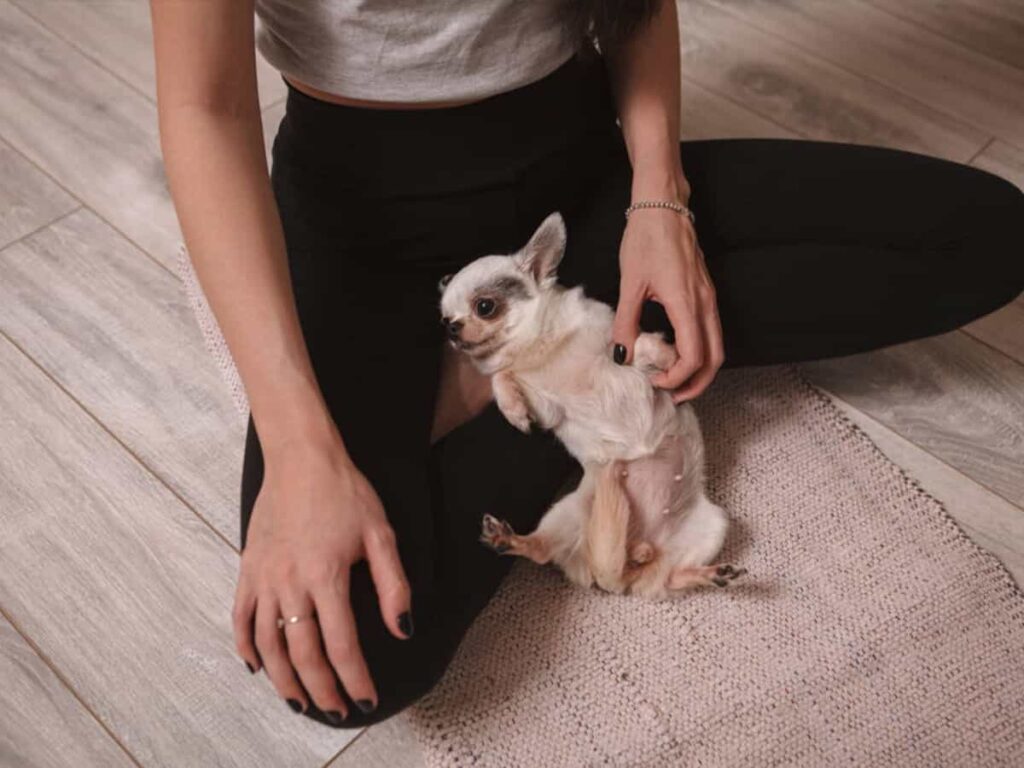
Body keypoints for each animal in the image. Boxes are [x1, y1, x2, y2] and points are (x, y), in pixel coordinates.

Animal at [440, 214, 745, 598]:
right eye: (443, 320)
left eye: (485, 306)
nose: (452, 329)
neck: (539, 348)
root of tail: (627, 567)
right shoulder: (548, 408)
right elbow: (502, 376)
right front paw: (513, 409)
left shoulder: (620, 343)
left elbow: (640, 346)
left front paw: (668, 355)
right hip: (568, 512)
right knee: (542, 551)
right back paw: (507, 539)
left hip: (713, 525)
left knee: (667, 578)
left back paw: (709, 574)